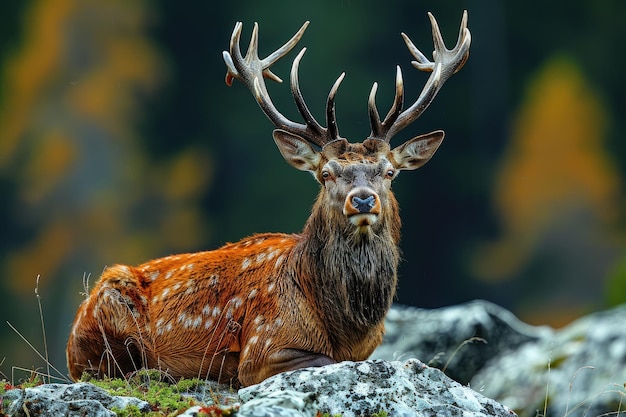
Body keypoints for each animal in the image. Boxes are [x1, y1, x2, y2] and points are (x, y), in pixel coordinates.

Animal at [67, 10, 468, 386]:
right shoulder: (263, 344)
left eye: (389, 172)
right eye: (326, 174)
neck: (346, 326)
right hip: (107, 311)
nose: (364, 200)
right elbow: (326, 359)